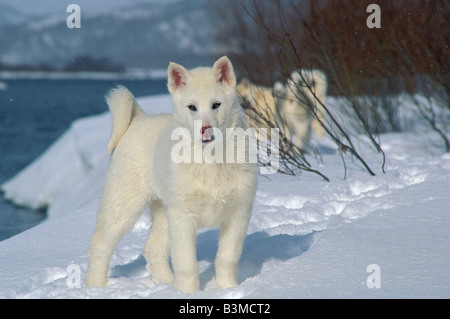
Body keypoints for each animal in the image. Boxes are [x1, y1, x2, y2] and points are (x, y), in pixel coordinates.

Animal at [87, 56, 256, 294]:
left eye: (216, 104)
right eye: (192, 107)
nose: (205, 129)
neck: (210, 159)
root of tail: (138, 118)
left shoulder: (238, 213)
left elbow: (227, 258)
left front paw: (228, 289)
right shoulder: (183, 217)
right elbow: (187, 263)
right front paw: (188, 292)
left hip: (164, 209)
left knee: (153, 249)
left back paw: (166, 284)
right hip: (123, 202)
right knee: (100, 244)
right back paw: (97, 287)